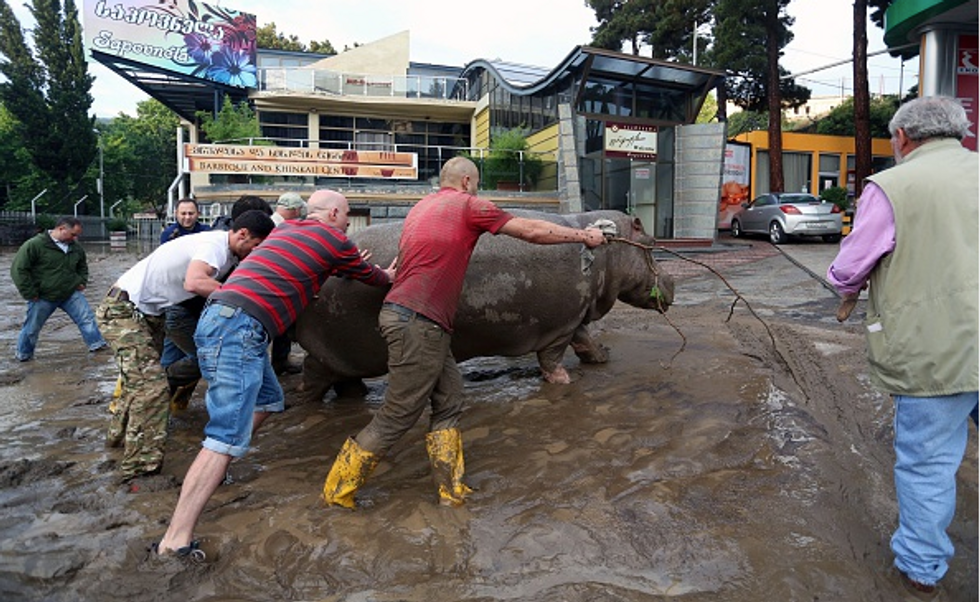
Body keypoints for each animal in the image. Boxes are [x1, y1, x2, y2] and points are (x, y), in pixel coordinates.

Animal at [292, 209, 672, 400]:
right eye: (653, 245)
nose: (671, 281)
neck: (609, 252)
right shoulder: (560, 326)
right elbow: (553, 357)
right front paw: (564, 382)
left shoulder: (576, 318)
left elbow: (587, 341)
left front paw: (603, 356)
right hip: (336, 351)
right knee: (313, 374)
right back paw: (305, 400)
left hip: (345, 357)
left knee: (339, 378)